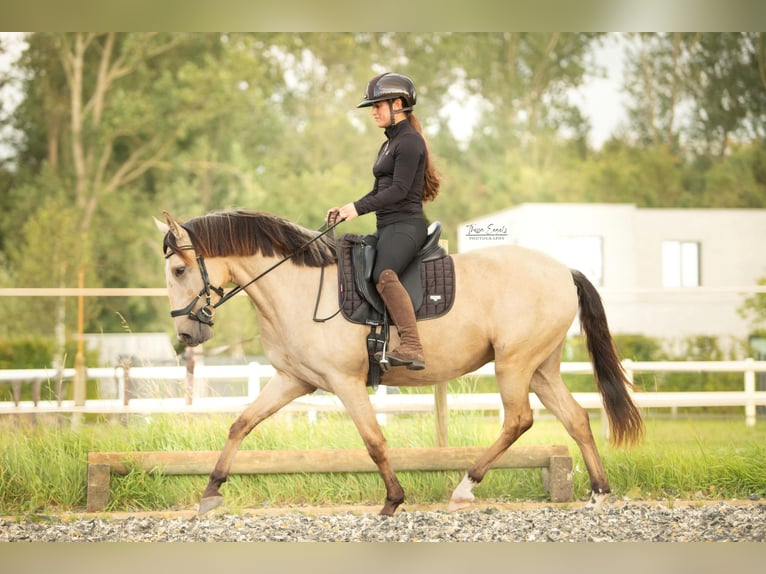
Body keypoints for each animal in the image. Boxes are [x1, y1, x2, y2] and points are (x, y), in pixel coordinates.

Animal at [158, 209, 648, 516]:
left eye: (179, 271)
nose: (186, 335)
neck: (297, 288)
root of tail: (564, 270)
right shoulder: (294, 380)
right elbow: (241, 423)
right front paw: (210, 491)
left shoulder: (345, 381)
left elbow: (374, 441)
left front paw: (393, 500)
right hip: (541, 367)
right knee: (576, 419)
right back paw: (599, 494)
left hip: (514, 364)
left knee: (519, 420)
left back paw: (465, 487)